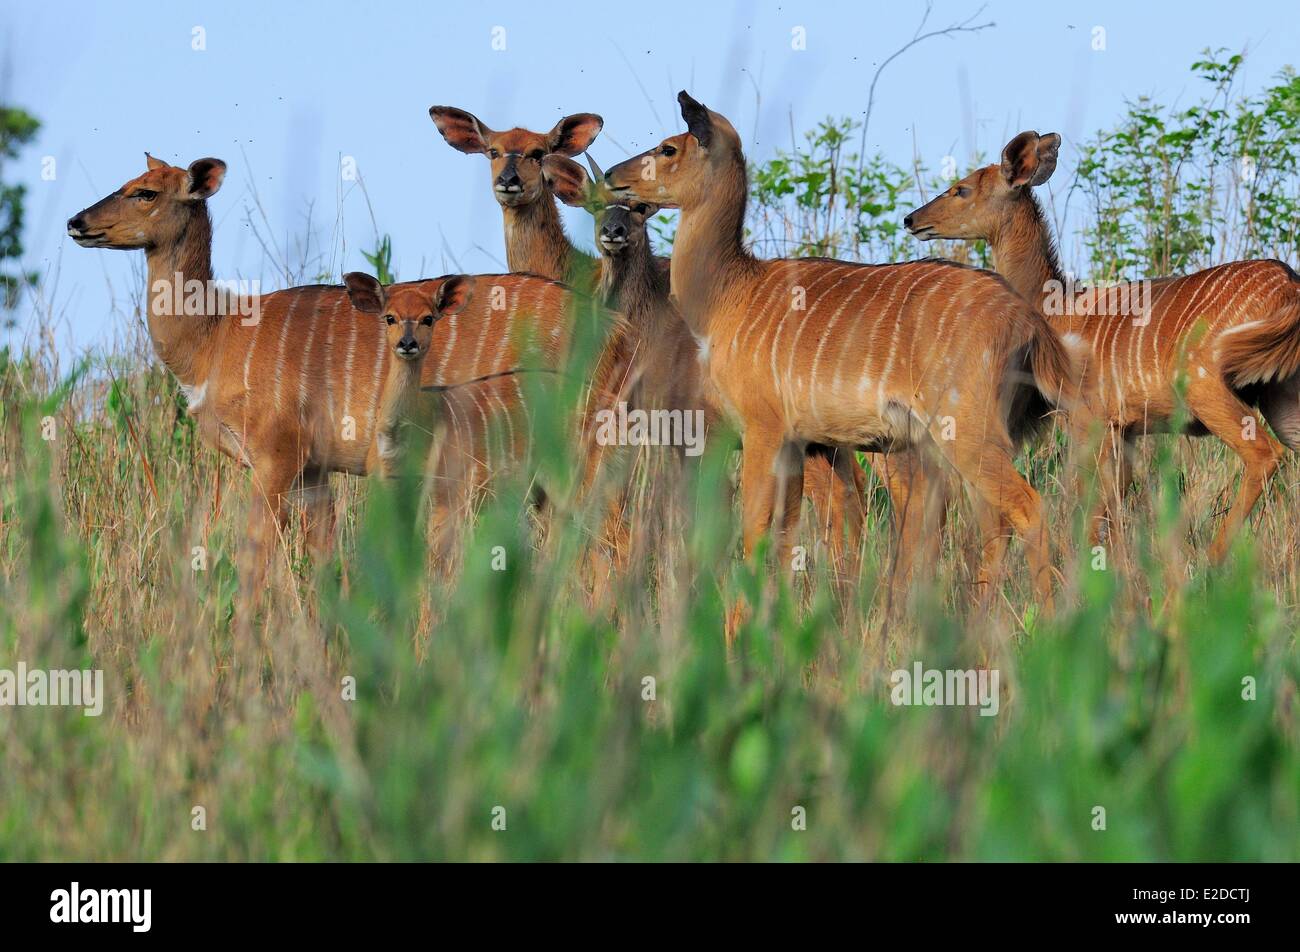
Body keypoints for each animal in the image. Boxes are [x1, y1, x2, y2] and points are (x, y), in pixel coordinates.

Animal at [62, 152, 579, 590]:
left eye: (146, 192)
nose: (76, 222)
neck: (218, 336)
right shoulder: (314, 470)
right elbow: (327, 560)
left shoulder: (277, 454)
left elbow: (254, 558)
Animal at [603, 94, 1071, 603]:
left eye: (669, 148)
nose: (610, 175)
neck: (731, 293)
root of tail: (1027, 320)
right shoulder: (800, 443)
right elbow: (785, 537)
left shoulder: (763, 428)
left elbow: (754, 531)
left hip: (966, 432)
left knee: (1027, 508)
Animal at [904, 126, 1300, 556]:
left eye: (961, 189)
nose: (911, 219)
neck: (1057, 308)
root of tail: (1290, 287)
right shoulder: (1123, 430)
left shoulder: (1087, 420)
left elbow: (1093, 508)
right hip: (1281, 396)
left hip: (1205, 386)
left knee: (1265, 454)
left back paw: (1212, 559)